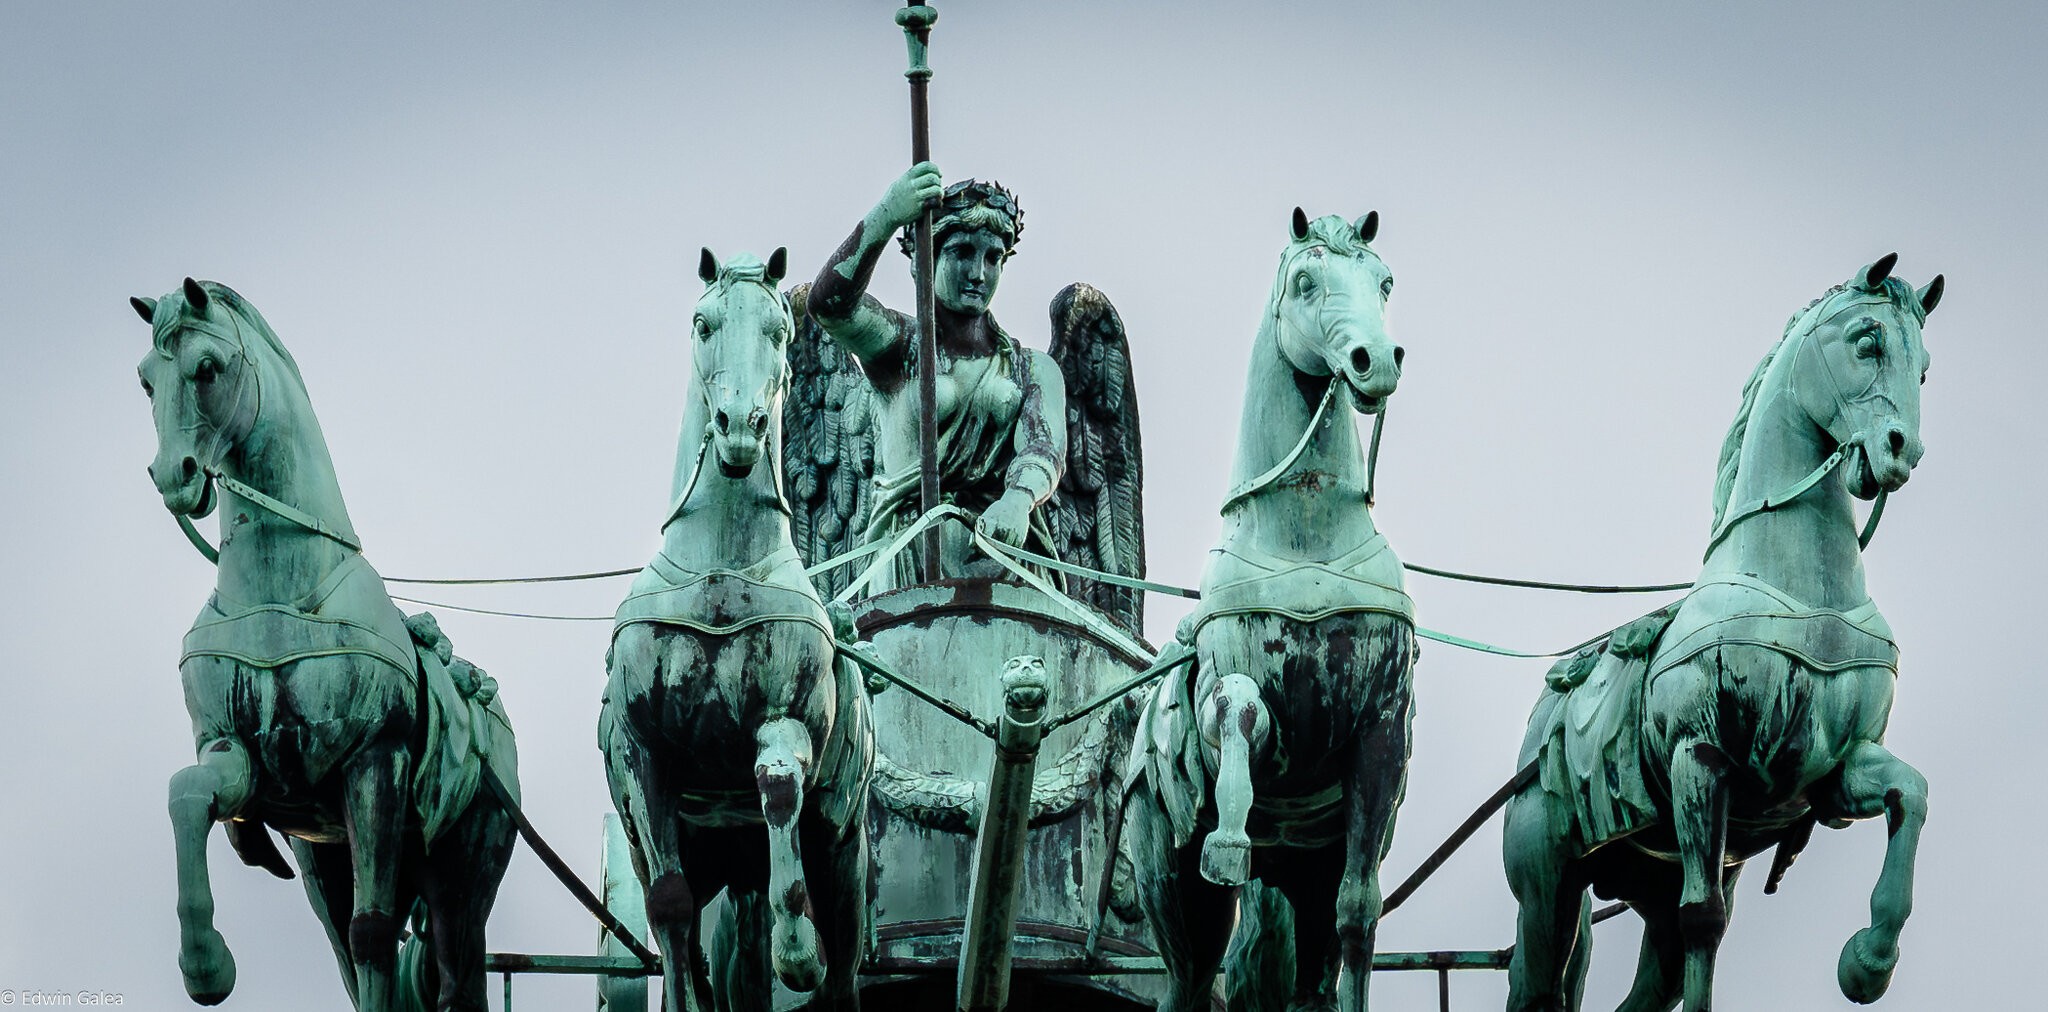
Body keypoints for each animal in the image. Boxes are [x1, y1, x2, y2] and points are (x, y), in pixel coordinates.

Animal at [134, 278, 520, 1012]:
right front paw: (206, 965)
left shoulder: (377, 762)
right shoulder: (241, 758)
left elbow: (372, 934)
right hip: (327, 856)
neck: (279, 591)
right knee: (347, 944)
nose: (173, 477)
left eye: (206, 368)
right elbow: (185, 793)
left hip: (463, 872)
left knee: (450, 972)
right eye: (145, 379)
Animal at [598, 246, 872, 1012]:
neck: (719, 567)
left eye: (782, 331)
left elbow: (776, 787)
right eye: (703, 323)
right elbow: (668, 906)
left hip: (842, 853)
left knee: (844, 959)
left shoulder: (785, 716)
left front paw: (796, 952)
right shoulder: (644, 753)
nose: (739, 425)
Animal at [1130, 209, 1417, 1007]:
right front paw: (1230, 834)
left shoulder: (1381, 729)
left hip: (1305, 875)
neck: (1305, 540)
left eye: (1385, 281)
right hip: (1170, 889)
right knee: (1189, 978)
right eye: (1305, 281)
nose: (1375, 361)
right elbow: (1237, 711)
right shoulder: (1233, 689)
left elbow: (1359, 912)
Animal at [1507, 257, 1949, 1007]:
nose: (1901, 452)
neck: (1801, 589)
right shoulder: (1700, 755)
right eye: (1866, 342)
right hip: (1549, 886)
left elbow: (1911, 793)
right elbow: (1704, 922)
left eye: (1923, 368)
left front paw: (1870, 959)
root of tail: (1545, 726)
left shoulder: (1837, 768)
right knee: (1538, 978)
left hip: (1647, 878)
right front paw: (1867, 958)